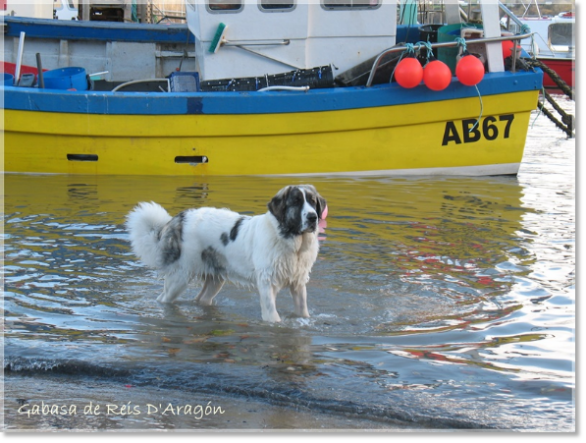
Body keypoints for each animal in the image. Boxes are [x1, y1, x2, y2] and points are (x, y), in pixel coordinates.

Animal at [125, 184, 324, 322]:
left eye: (313, 202)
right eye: (296, 202)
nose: (313, 217)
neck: (292, 243)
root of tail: (178, 218)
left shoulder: (298, 283)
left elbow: (302, 310)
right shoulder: (267, 282)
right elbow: (271, 313)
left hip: (215, 279)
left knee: (201, 299)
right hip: (180, 277)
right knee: (163, 299)